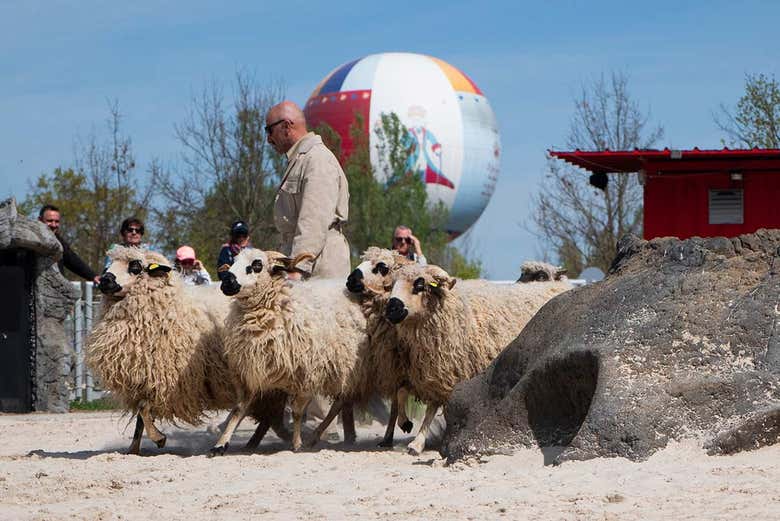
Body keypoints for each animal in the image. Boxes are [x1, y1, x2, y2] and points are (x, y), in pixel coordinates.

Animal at [86, 246, 288, 455]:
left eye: (135, 266)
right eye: (109, 265)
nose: (104, 280)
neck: (169, 307)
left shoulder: (165, 380)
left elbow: (143, 409)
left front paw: (158, 438)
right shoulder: (144, 378)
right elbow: (141, 416)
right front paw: (134, 448)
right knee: (271, 415)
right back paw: (258, 442)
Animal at [210, 248, 373, 454]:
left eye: (257, 264)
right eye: (233, 261)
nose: (227, 283)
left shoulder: (307, 375)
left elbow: (296, 412)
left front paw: (297, 444)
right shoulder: (252, 372)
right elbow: (238, 409)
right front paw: (220, 444)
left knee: (339, 404)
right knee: (339, 403)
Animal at [384, 262, 572, 454]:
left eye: (419, 285)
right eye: (392, 285)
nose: (391, 309)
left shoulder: (449, 371)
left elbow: (431, 408)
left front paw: (418, 442)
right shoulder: (427, 369)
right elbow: (401, 392)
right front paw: (405, 423)